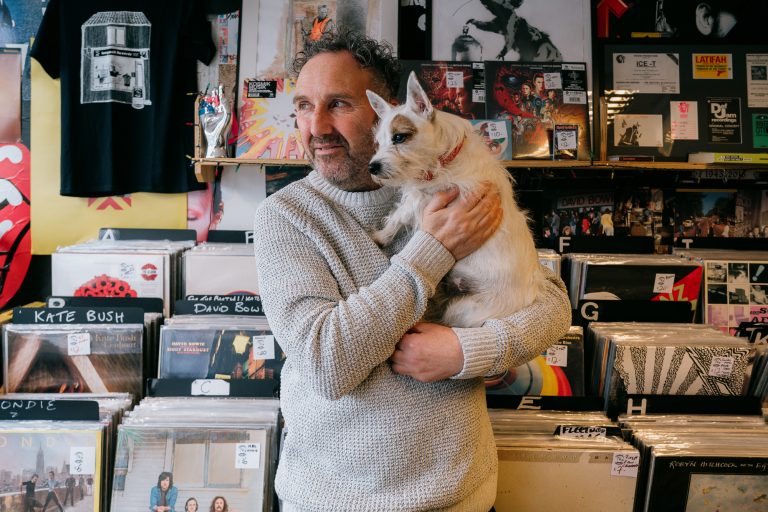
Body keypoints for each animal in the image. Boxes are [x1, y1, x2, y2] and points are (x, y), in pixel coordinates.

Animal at [368, 72, 544, 328]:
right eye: (378, 143)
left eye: (400, 137)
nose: (372, 167)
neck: (446, 158)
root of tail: (527, 299)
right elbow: (400, 211)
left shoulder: (426, 197)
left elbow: (400, 213)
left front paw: (381, 236)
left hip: (463, 310)